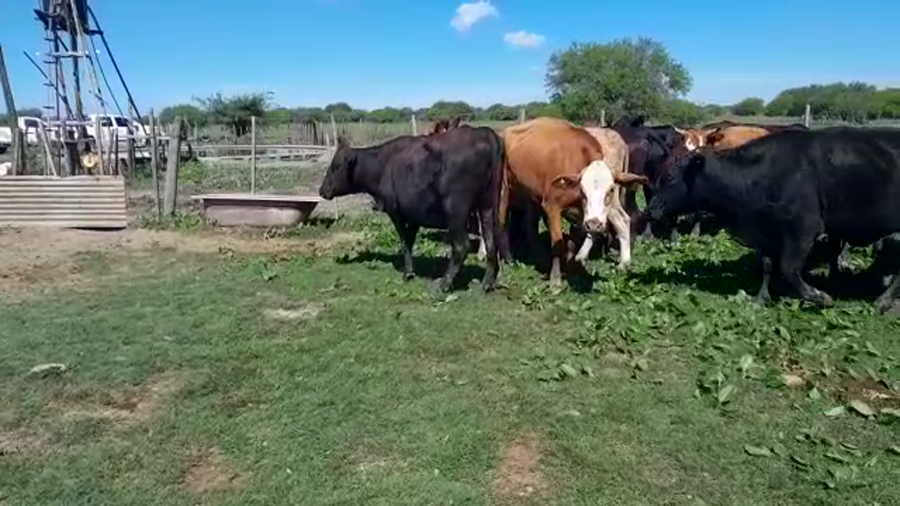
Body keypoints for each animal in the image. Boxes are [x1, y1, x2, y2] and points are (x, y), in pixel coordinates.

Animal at [319, 126, 505, 292]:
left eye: (335, 166)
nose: (322, 190)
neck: (382, 165)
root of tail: (483, 132)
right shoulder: (415, 215)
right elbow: (409, 240)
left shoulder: (395, 211)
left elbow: (404, 242)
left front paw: (408, 273)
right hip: (487, 206)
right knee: (491, 242)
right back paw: (487, 283)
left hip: (456, 211)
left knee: (461, 246)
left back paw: (444, 283)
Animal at [501, 117, 648, 285]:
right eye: (582, 190)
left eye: (610, 190)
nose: (594, 223)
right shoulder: (552, 208)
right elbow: (558, 243)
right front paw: (557, 278)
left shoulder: (582, 216)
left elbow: (573, 241)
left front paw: (571, 269)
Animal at [647, 127, 900, 313]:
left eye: (671, 178)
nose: (651, 208)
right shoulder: (767, 232)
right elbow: (768, 265)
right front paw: (761, 298)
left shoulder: (803, 229)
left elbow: (789, 268)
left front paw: (819, 296)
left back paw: (883, 301)